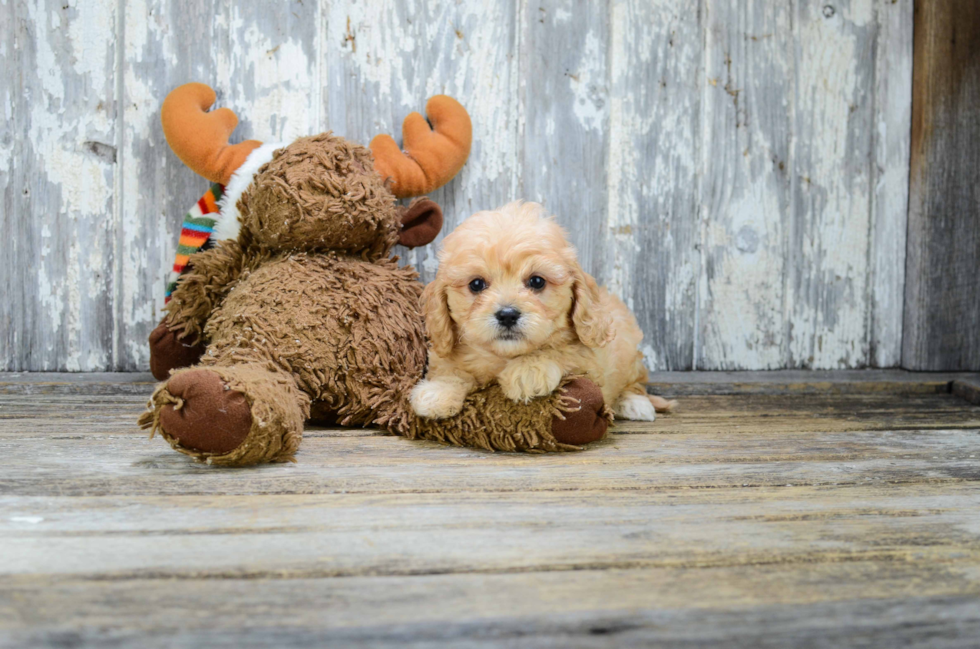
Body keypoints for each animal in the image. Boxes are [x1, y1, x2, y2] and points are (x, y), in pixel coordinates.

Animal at [408, 204, 672, 426]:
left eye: (536, 281)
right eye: (476, 284)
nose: (507, 314)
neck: (503, 356)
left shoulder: (591, 360)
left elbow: (561, 351)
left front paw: (527, 371)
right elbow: (451, 370)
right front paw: (437, 392)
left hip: (629, 352)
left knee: (635, 383)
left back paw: (635, 404)